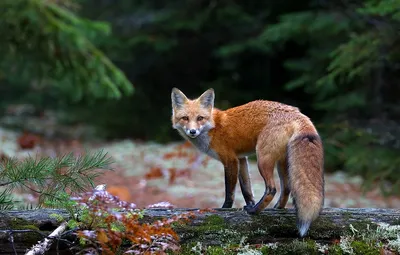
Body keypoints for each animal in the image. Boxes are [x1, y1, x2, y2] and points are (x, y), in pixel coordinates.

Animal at [170, 88, 324, 237]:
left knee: (272, 189)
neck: (213, 128)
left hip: (263, 159)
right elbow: (246, 189)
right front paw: (250, 203)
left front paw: (225, 209)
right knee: (286, 188)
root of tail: (297, 113)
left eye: (200, 118)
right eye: (185, 118)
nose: (192, 131)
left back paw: (255, 211)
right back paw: (276, 208)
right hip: (282, 163)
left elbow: (230, 192)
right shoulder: (241, 159)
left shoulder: (231, 160)